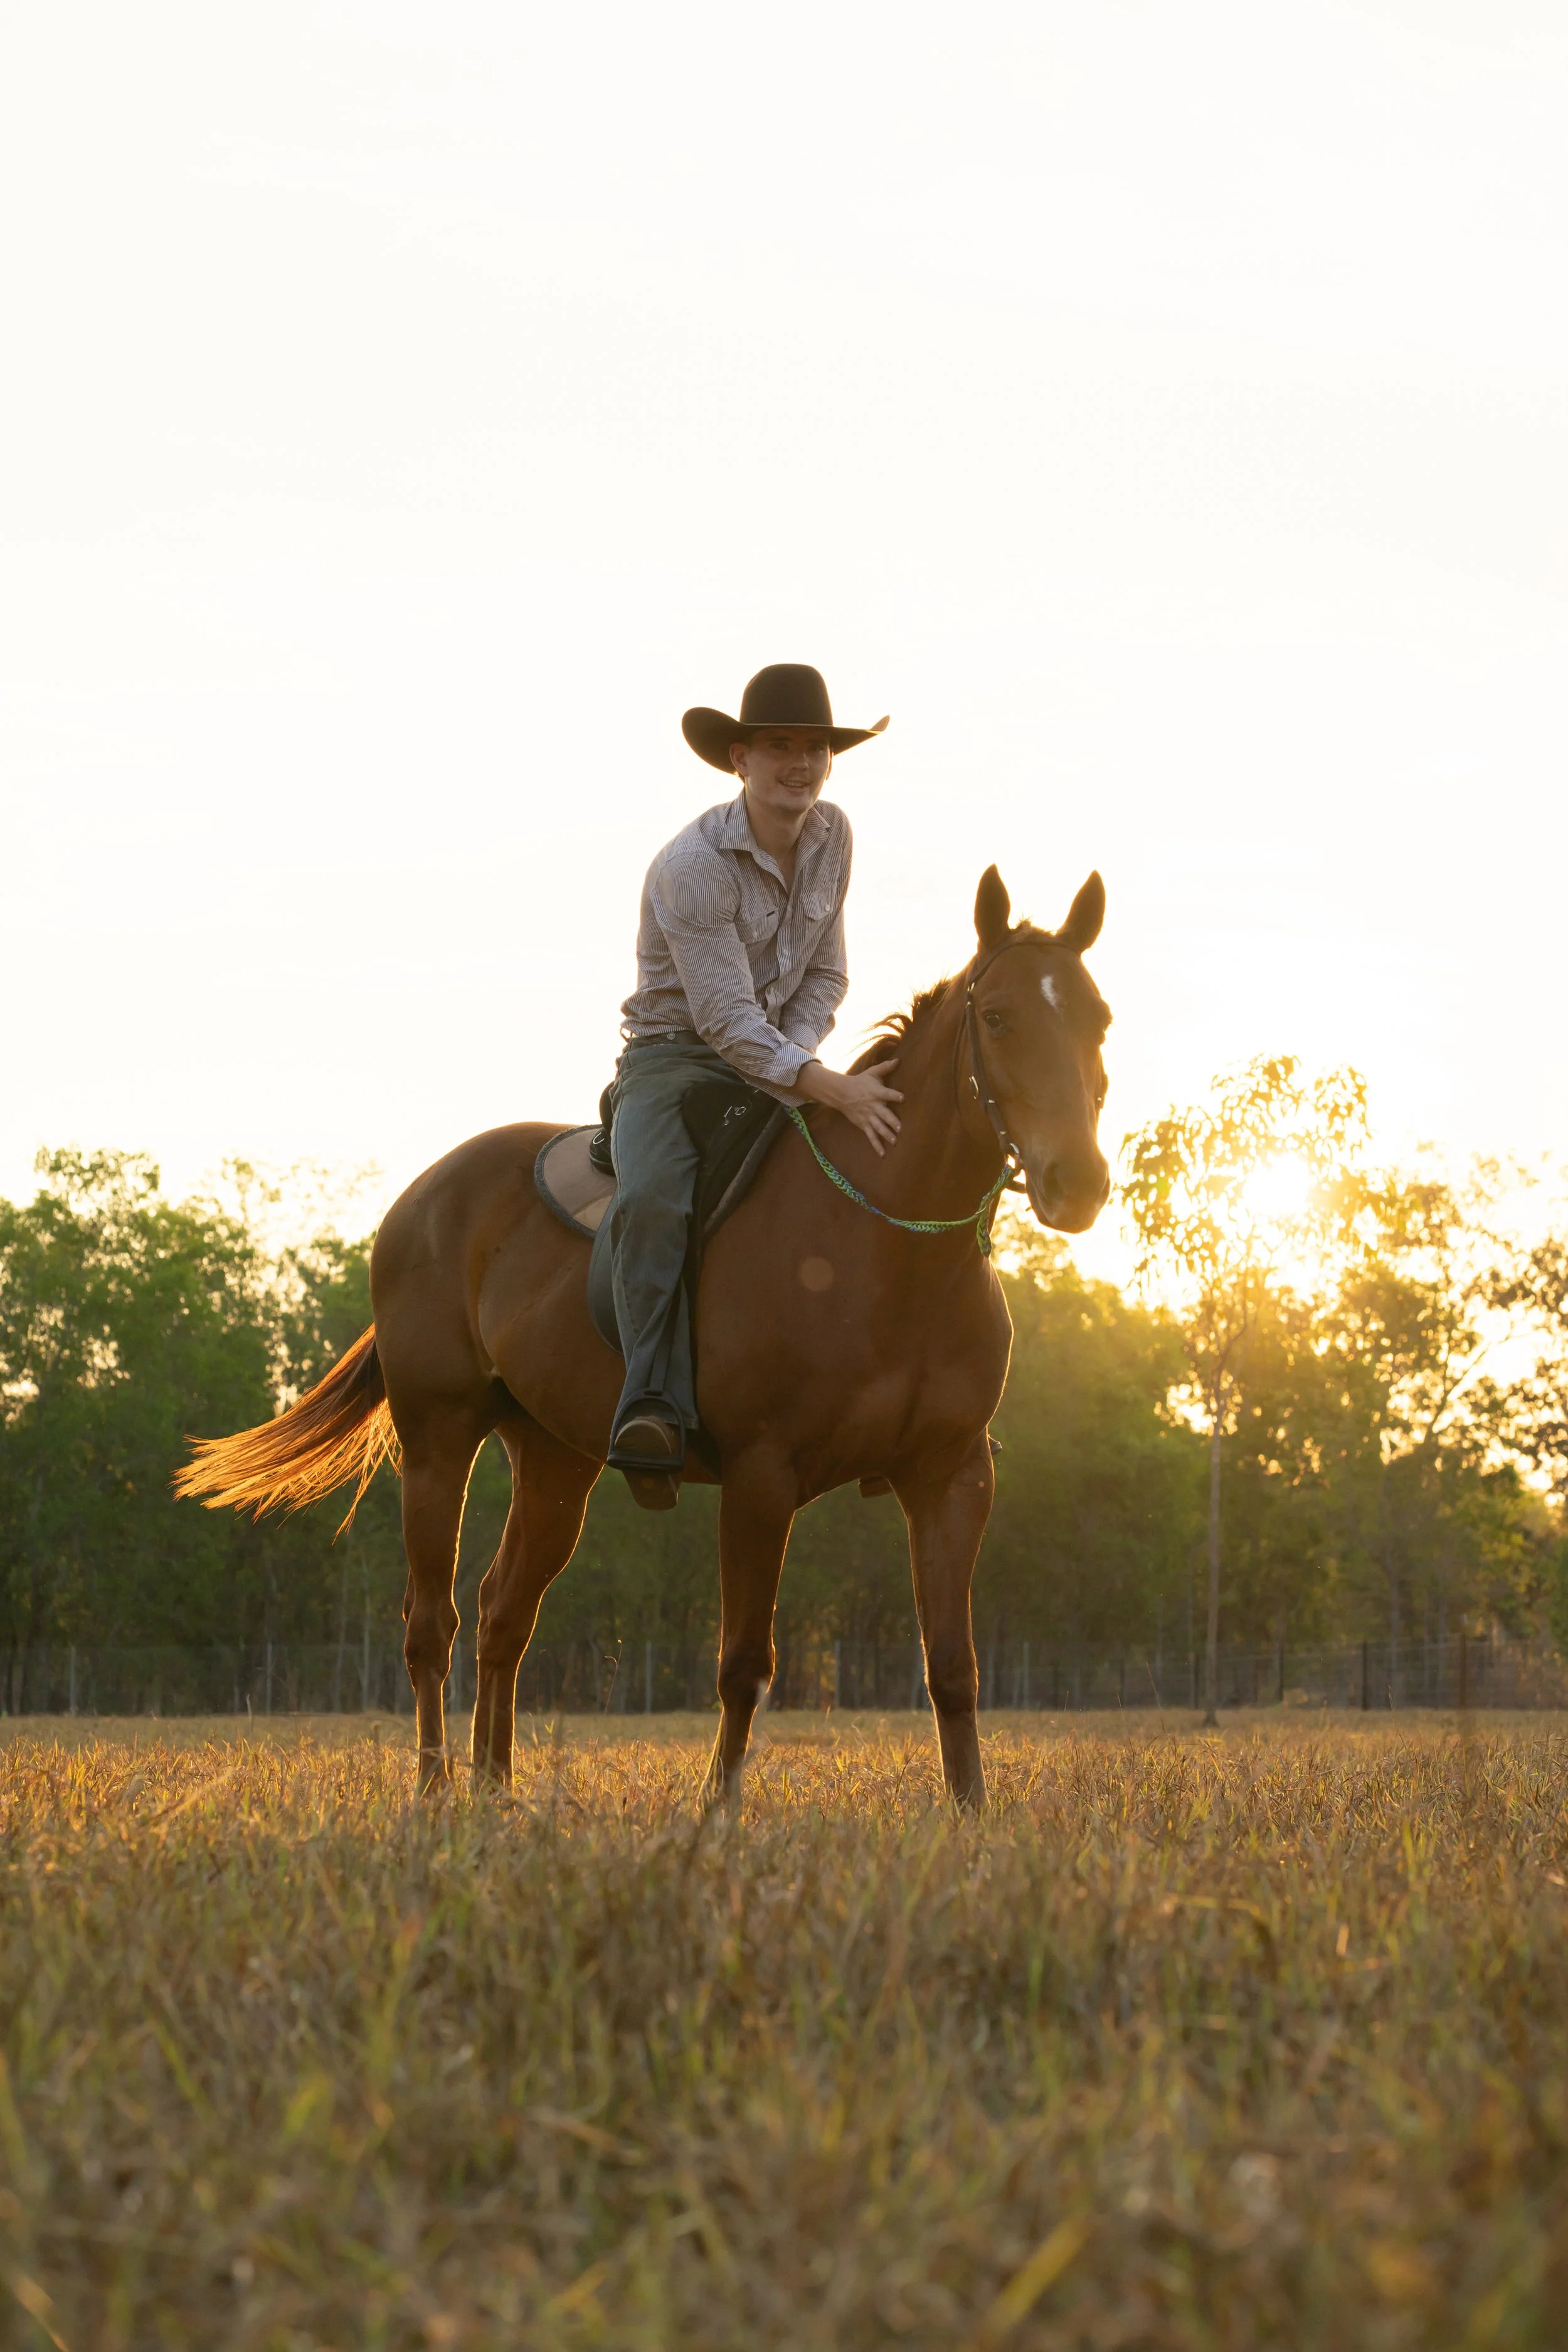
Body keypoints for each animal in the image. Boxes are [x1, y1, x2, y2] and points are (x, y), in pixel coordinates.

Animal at [177, 865, 1112, 1807]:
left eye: (1099, 1018)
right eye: (999, 1018)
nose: (1078, 1182)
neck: (887, 1250)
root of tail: (423, 1196)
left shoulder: (952, 1478)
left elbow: (954, 1670)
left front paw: (970, 1817)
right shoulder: (762, 1477)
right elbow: (744, 1665)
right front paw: (717, 1811)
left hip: (555, 1459)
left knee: (503, 1614)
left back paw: (496, 1792)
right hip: (438, 1439)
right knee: (430, 1626)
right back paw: (437, 1794)